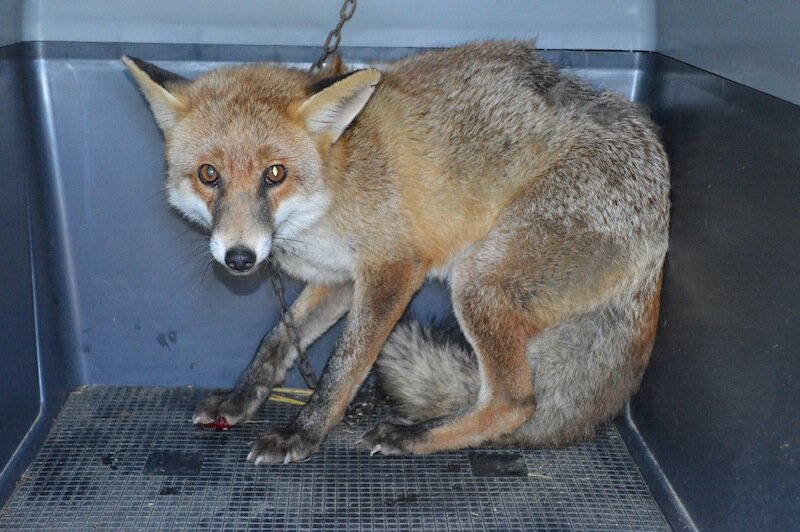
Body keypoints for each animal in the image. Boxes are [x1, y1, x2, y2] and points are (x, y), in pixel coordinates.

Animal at [122, 40, 669, 464]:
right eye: (208, 174)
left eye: (274, 174)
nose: (239, 258)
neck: (333, 189)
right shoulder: (338, 279)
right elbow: (276, 340)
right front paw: (240, 399)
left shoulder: (393, 268)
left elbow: (342, 367)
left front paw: (303, 433)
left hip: (479, 283)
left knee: (514, 401)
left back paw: (415, 437)